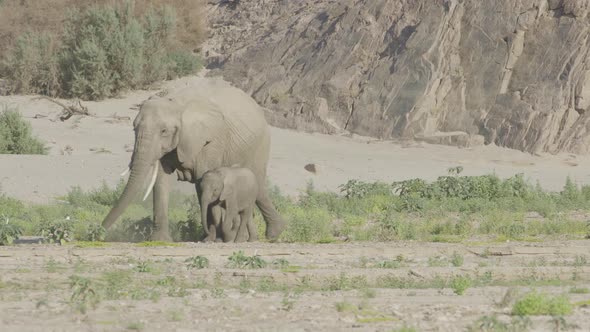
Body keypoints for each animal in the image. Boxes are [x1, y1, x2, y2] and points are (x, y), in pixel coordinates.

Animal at [102, 79, 286, 243]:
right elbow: (161, 182)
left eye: (164, 131)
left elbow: (201, 181)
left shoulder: (209, 141)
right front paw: (160, 240)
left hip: (260, 144)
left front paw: (212, 239)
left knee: (259, 185)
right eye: (134, 128)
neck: (176, 104)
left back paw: (271, 234)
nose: (99, 232)